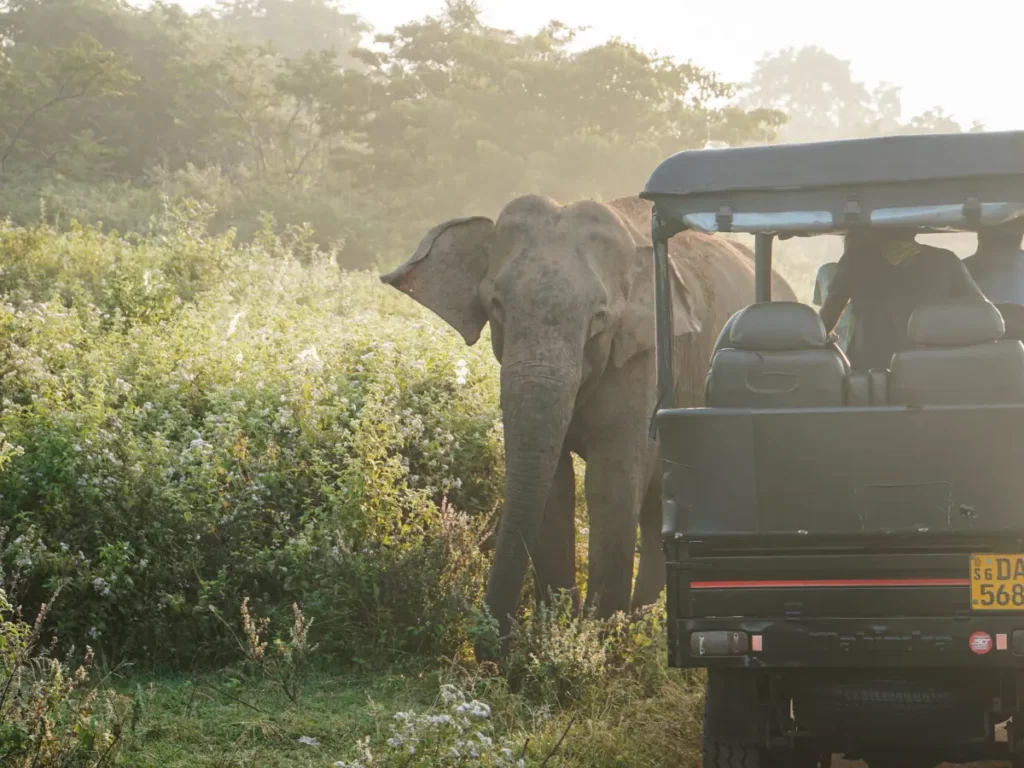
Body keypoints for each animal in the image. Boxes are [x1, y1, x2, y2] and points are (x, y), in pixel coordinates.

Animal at [380, 193, 794, 655]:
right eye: (497, 306)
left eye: (599, 318)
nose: (489, 641)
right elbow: (553, 485)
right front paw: (556, 633)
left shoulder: (642, 360)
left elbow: (609, 484)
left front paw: (596, 643)